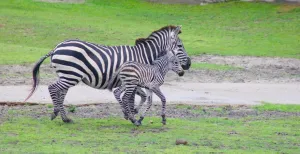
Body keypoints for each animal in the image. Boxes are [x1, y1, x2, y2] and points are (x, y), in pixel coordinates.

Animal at [24, 25, 191, 122]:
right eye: (180, 46)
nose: (189, 64)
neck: (143, 55)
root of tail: (57, 47)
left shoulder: (135, 81)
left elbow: (141, 97)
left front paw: (132, 112)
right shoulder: (133, 79)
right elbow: (133, 97)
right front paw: (131, 114)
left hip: (67, 74)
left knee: (60, 92)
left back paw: (62, 115)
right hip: (71, 75)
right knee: (53, 88)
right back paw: (58, 115)